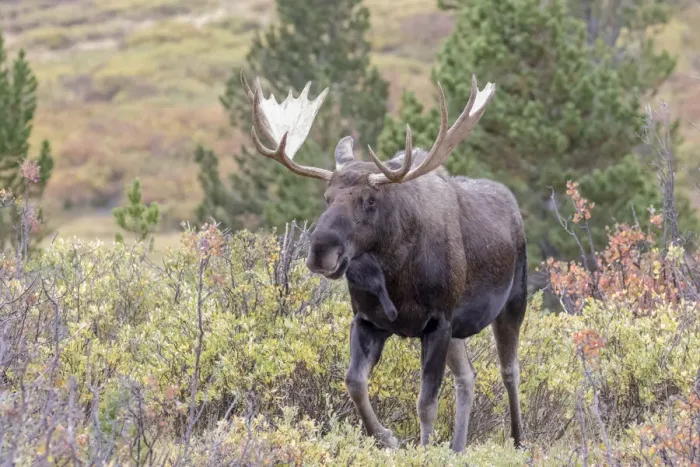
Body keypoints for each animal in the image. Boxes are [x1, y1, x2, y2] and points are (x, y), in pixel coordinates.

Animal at [241, 70, 527, 453]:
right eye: (327, 197)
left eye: (370, 199)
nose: (320, 251)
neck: (394, 275)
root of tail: (514, 205)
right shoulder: (368, 320)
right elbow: (354, 383)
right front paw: (388, 437)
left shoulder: (438, 322)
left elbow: (425, 403)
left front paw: (423, 450)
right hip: (459, 329)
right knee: (468, 376)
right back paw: (457, 447)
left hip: (513, 301)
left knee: (510, 370)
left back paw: (519, 441)